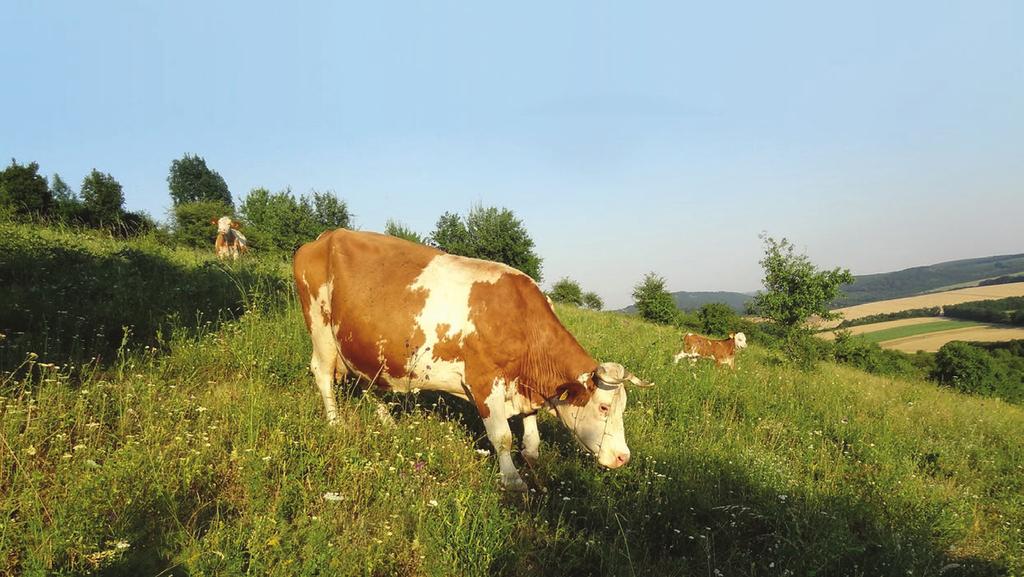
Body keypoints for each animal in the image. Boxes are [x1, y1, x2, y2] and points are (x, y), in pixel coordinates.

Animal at [292, 230, 651, 491]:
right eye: (603, 407)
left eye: (623, 408)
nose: (623, 457)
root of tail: (326, 236)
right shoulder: (484, 381)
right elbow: (502, 437)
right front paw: (513, 480)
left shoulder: (521, 386)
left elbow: (531, 433)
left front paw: (531, 458)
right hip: (320, 327)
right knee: (322, 374)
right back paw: (336, 423)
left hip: (363, 346)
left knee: (367, 381)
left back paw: (388, 423)